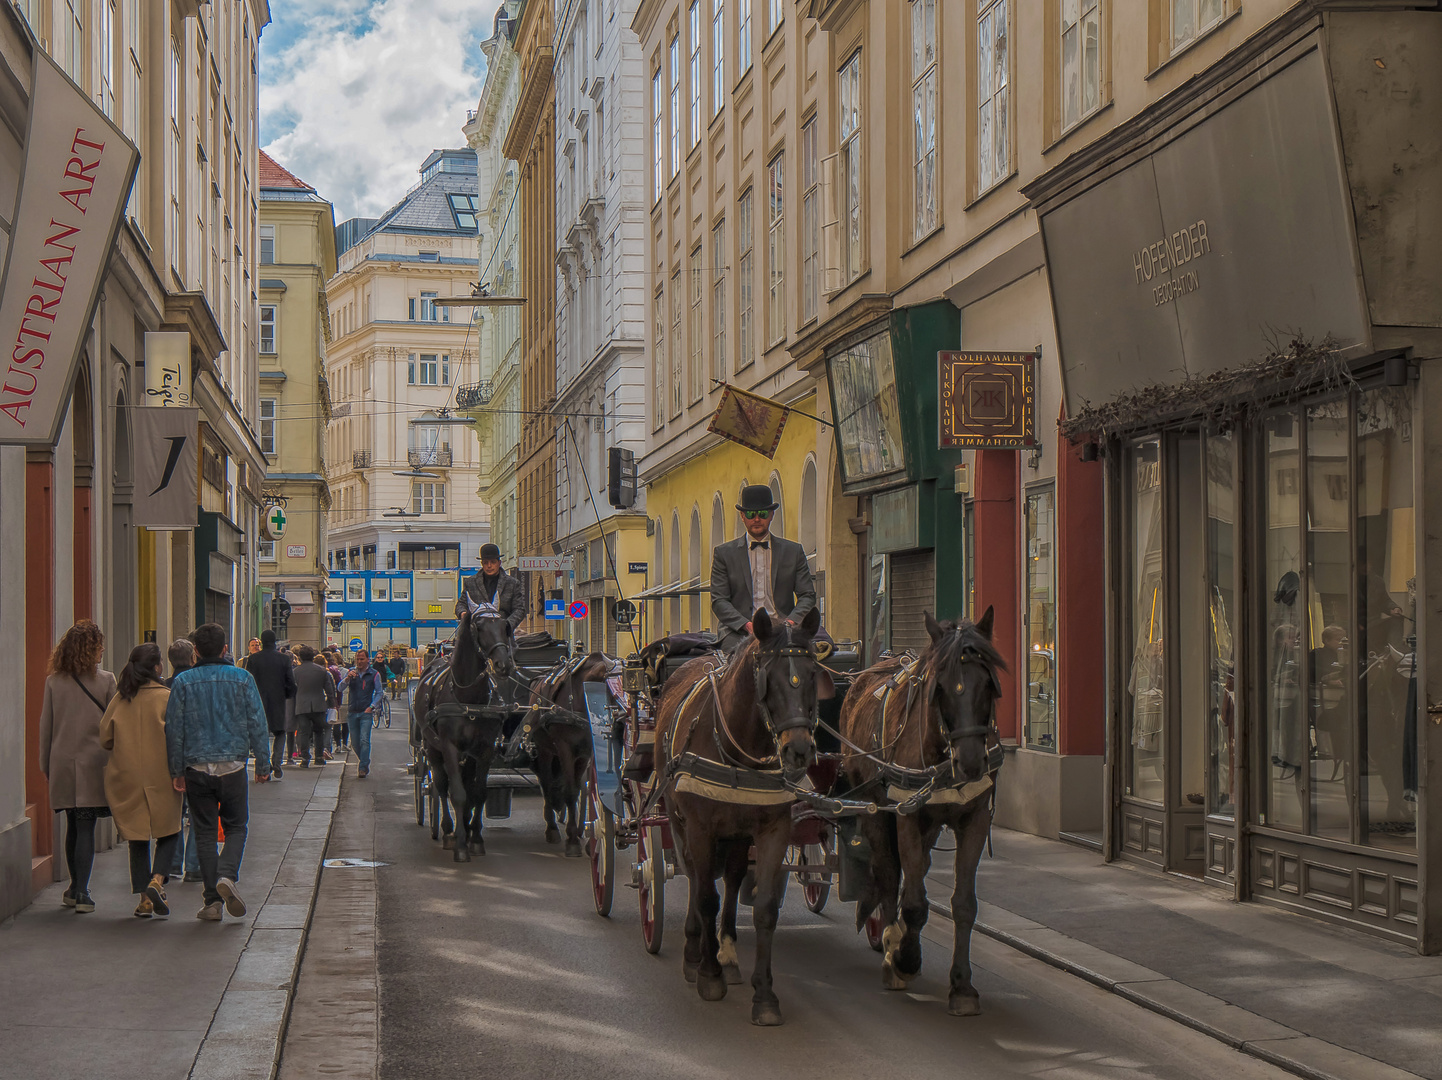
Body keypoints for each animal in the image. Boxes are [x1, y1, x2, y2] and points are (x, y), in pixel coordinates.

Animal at [409, 611, 522, 865]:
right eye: (479, 628)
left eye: (505, 627)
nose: (503, 665)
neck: (469, 696)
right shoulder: (450, 747)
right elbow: (458, 794)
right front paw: (460, 844)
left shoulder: (485, 749)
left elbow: (478, 793)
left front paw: (476, 838)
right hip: (433, 749)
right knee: (441, 787)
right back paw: (448, 832)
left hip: (468, 756)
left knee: (467, 785)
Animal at [527, 651, 611, 853]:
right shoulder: (565, 748)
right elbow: (571, 791)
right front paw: (572, 839)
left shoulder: (587, 753)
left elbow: (584, 788)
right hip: (545, 750)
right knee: (546, 782)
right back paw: (551, 828)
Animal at [654, 602, 824, 1026]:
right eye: (768, 678)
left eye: (814, 674)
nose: (799, 750)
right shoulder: (700, 828)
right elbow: (705, 896)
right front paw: (708, 974)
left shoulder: (772, 829)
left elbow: (763, 908)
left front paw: (764, 995)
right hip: (678, 820)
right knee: (695, 877)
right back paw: (695, 950)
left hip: (736, 833)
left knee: (731, 879)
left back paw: (728, 955)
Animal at [842, 611, 1009, 1015]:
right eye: (941, 687)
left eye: (988, 684)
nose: (971, 763)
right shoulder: (906, 814)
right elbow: (914, 901)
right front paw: (905, 958)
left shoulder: (974, 819)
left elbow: (963, 904)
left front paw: (962, 985)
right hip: (874, 807)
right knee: (888, 871)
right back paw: (891, 944)